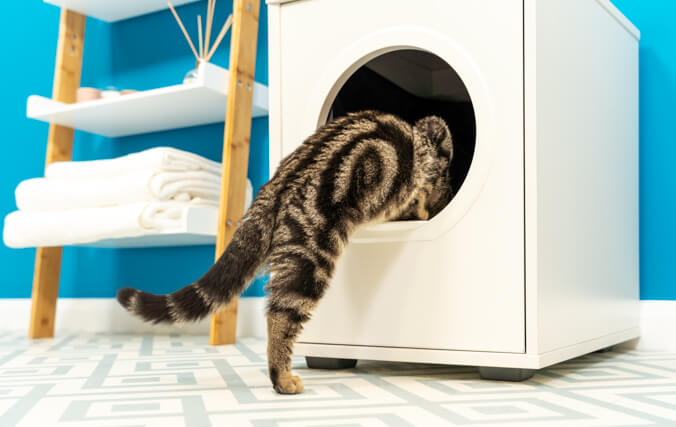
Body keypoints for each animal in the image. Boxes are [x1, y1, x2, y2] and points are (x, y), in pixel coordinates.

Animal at [117, 110, 454, 394]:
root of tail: (275, 186)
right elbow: (418, 197)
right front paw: (424, 206)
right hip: (311, 259)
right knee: (278, 317)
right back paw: (282, 379)